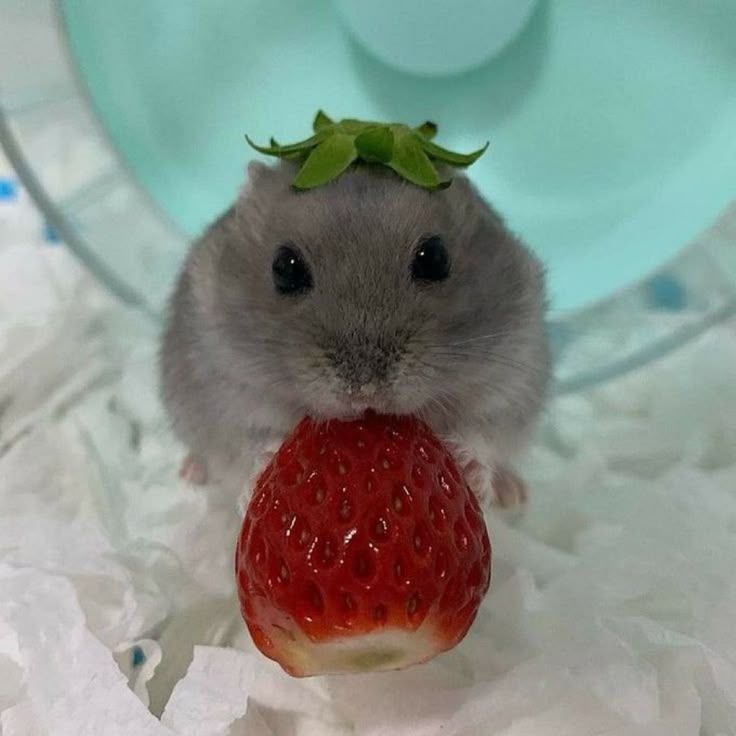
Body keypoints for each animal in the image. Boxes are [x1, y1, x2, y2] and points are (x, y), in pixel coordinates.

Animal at [160, 161, 550, 511]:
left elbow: (484, 431)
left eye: (435, 257)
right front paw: (263, 468)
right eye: (285, 267)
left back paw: (514, 493)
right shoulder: (221, 390)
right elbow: (246, 443)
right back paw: (190, 471)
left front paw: (468, 467)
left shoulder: (509, 378)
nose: (366, 388)